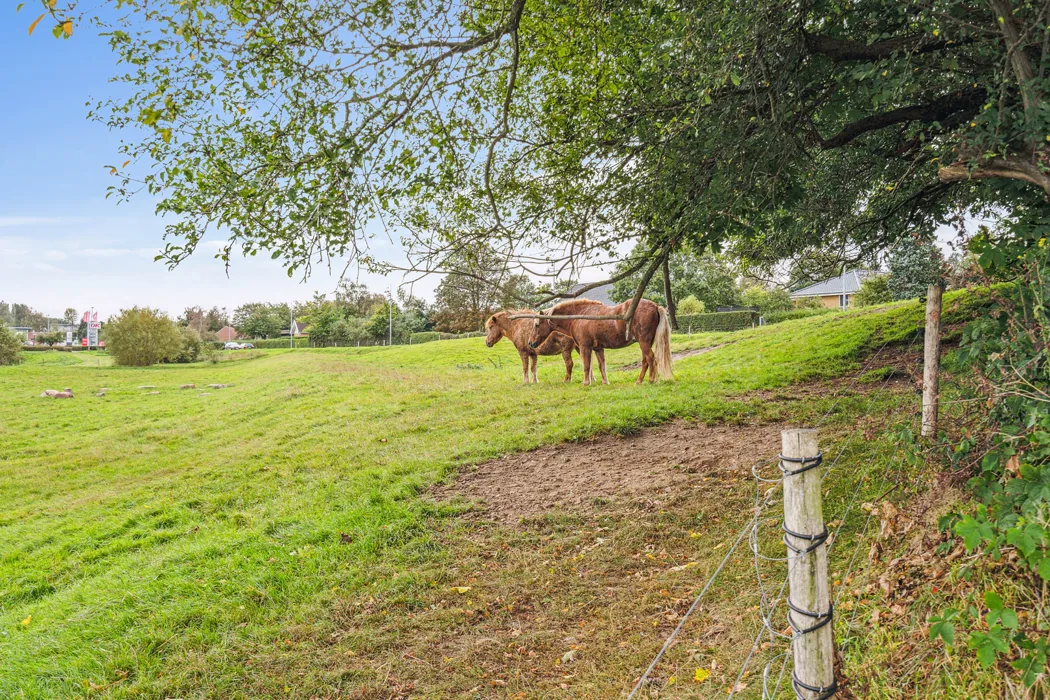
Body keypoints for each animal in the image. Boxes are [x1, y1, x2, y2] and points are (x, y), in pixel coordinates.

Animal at [525, 298, 672, 386]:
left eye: (537, 325)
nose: (530, 343)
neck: (580, 316)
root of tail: (655, 306)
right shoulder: (598, 349)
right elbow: (602, 366)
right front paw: (605, 382)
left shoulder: (585, 347)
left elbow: (586, 366)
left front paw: (586, 383)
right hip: (645, 343)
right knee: (645, 361)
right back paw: (639, 381)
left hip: (644, 342)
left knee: (651, 358)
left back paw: (651, 380)